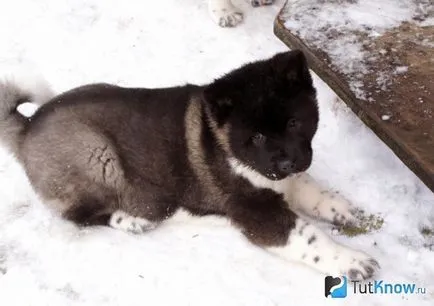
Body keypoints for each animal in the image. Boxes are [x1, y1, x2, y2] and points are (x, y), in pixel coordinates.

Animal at [0, 50, 378, 280]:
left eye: (294, 123)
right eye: (255, 137)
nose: (286, 162)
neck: (230, 146)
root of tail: (28, 127)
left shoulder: (283, 174)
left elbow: (309, 187)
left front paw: (341, 208)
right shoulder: (257, 211)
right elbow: (311, 239)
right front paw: (352, 260)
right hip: (95, 155)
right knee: (80, 215)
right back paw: (133, 220)